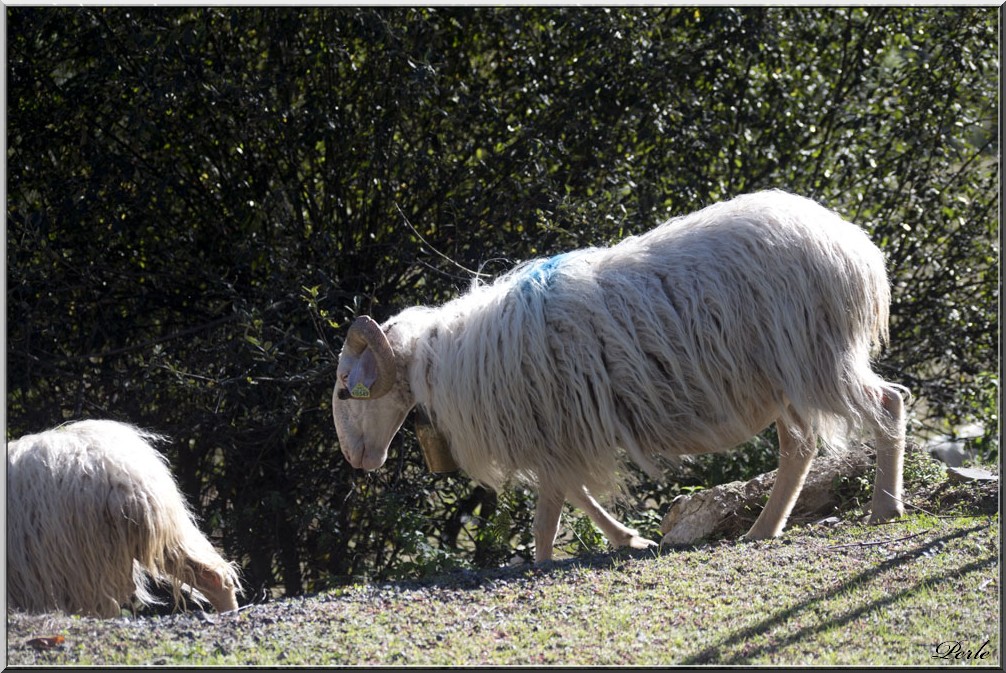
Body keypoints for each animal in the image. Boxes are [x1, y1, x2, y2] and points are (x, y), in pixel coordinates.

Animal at [331, 190, 913, 563]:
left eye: (343, 390)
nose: (357, 462)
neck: (447, 359)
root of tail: (856, 247)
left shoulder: (557, 426)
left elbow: (554, 505)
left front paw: (544, 559)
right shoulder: (561, 433)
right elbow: (573, 494)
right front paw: (628, 541)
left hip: (818, 356)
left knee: (887, 403)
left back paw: (885, 508)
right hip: (785, 375)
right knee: (800, 449)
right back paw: (762, 530)